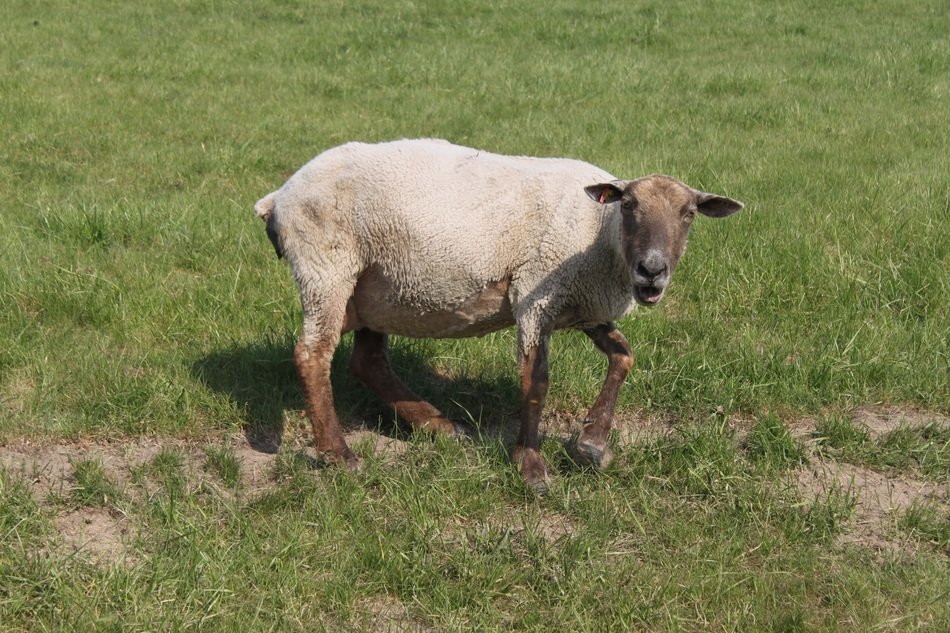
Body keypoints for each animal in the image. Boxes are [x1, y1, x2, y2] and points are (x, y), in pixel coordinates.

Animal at [255, 139, 743, 492]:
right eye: (628, 206)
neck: (599, 234)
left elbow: (624, 357)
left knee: (368, 361)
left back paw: (437, 426)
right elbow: (535, 381)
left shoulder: (583, 306)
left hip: (377, 287)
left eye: (688, 214)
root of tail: (278, 196)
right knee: (313, 356)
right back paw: (340, 455)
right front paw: (531, 466)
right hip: (327, 268)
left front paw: (591, 443)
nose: (652, 270)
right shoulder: (534, 296)